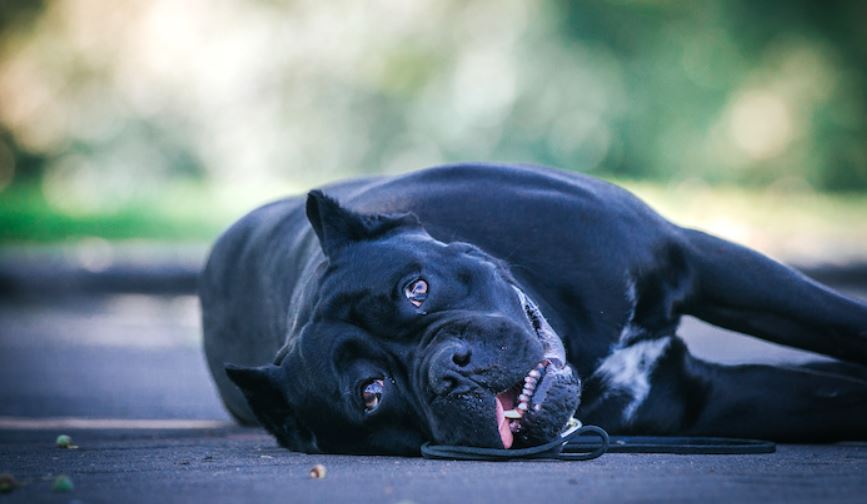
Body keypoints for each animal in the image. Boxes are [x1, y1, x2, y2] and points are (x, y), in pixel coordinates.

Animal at [198, 163, 867, 454]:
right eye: (370, 392)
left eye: (417, 290)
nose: (450, 368)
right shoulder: (704, 401)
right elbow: (832, 396)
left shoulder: (695, 259)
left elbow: (839, 323)